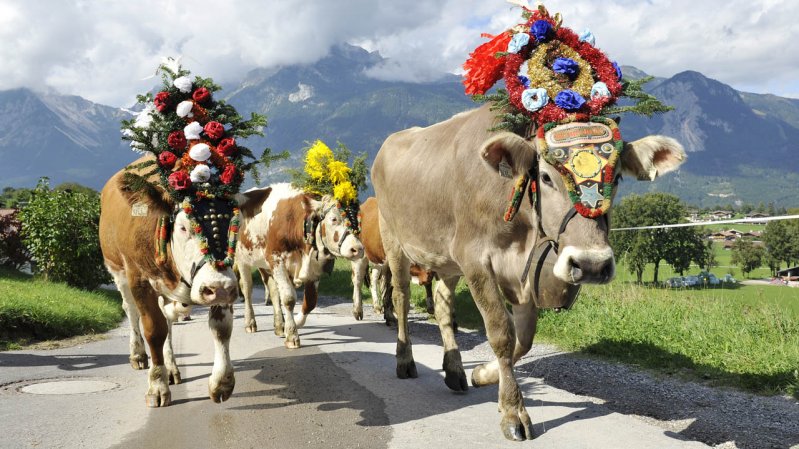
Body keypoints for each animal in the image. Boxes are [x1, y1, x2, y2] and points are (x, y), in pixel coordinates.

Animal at [98, 157, 258, 406]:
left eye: (237, 224)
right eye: (183, 227)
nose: (219, 288)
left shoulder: (222, 285)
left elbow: (221, 329)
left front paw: (222, 382)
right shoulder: (139, 280)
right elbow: (154, 330)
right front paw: (157, 385)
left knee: (168, 319)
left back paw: (172, 368)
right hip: (118, 271)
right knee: (131, 310)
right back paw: (138, 354)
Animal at [236, 182, 364, 346]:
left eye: (357, 221)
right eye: (334, 219)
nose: (358, 249)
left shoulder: (313, 269)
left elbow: (310, 301)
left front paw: (294, 323)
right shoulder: (276, 259)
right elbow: (289, 298)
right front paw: (292, 334)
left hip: (264, 265)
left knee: (273, 290)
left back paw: (279, 325)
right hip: (242, 258)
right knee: (247, 289)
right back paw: (250, 322)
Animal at [372, 103, 684, 440]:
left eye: (616, 180)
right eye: (545, 177)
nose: (591, 264)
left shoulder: (520, 269)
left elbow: (523, 339)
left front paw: (483, 374)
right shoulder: (475, 261)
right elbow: (501, 333)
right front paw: (513, 411)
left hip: (446, 260)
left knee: (443, 305)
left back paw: (455, 369)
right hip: (394, 241)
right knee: (401, 298)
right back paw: (405, 360)